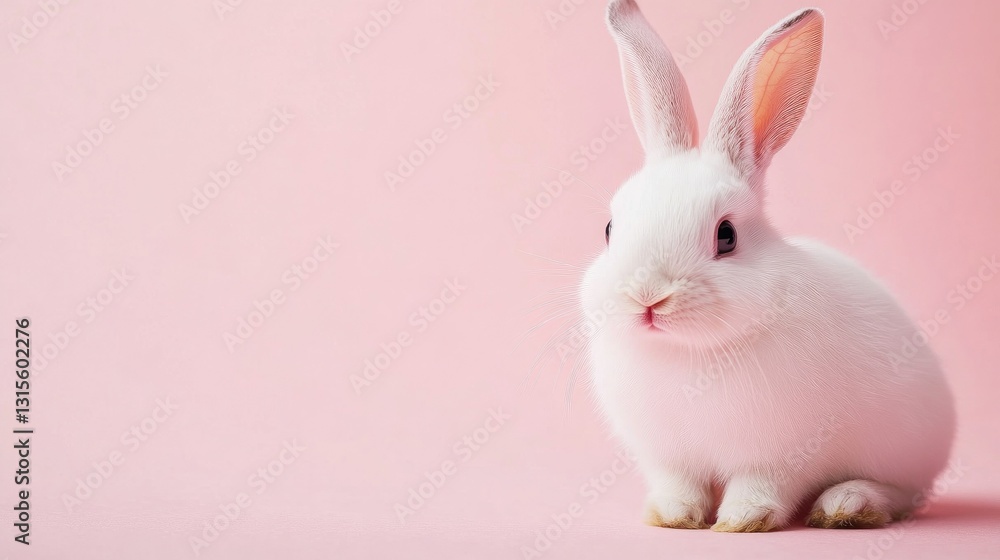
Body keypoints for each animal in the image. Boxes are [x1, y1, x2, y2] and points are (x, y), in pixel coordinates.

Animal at [580, 0, 956, 532]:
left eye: (726, 236)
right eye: (611, 229)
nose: (648, 298)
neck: (689, 352)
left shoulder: (781, 457)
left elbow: (761, 486)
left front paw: (742, 520)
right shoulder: (668, 457)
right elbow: (679, 485)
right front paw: (673, 516)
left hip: (903, 453)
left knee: (902, 493)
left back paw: (847, 505)